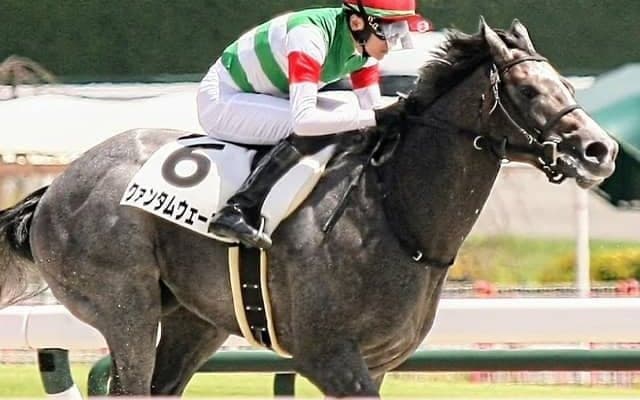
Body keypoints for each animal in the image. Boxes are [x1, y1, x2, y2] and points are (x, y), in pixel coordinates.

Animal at [0, 19, 618, 397]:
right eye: (530, 91)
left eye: (566, 85)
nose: (601, 150)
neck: (395, 214)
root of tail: (54, 188)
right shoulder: (330, 357)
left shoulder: (377, 362)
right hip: (125, 308)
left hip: (193, 320)